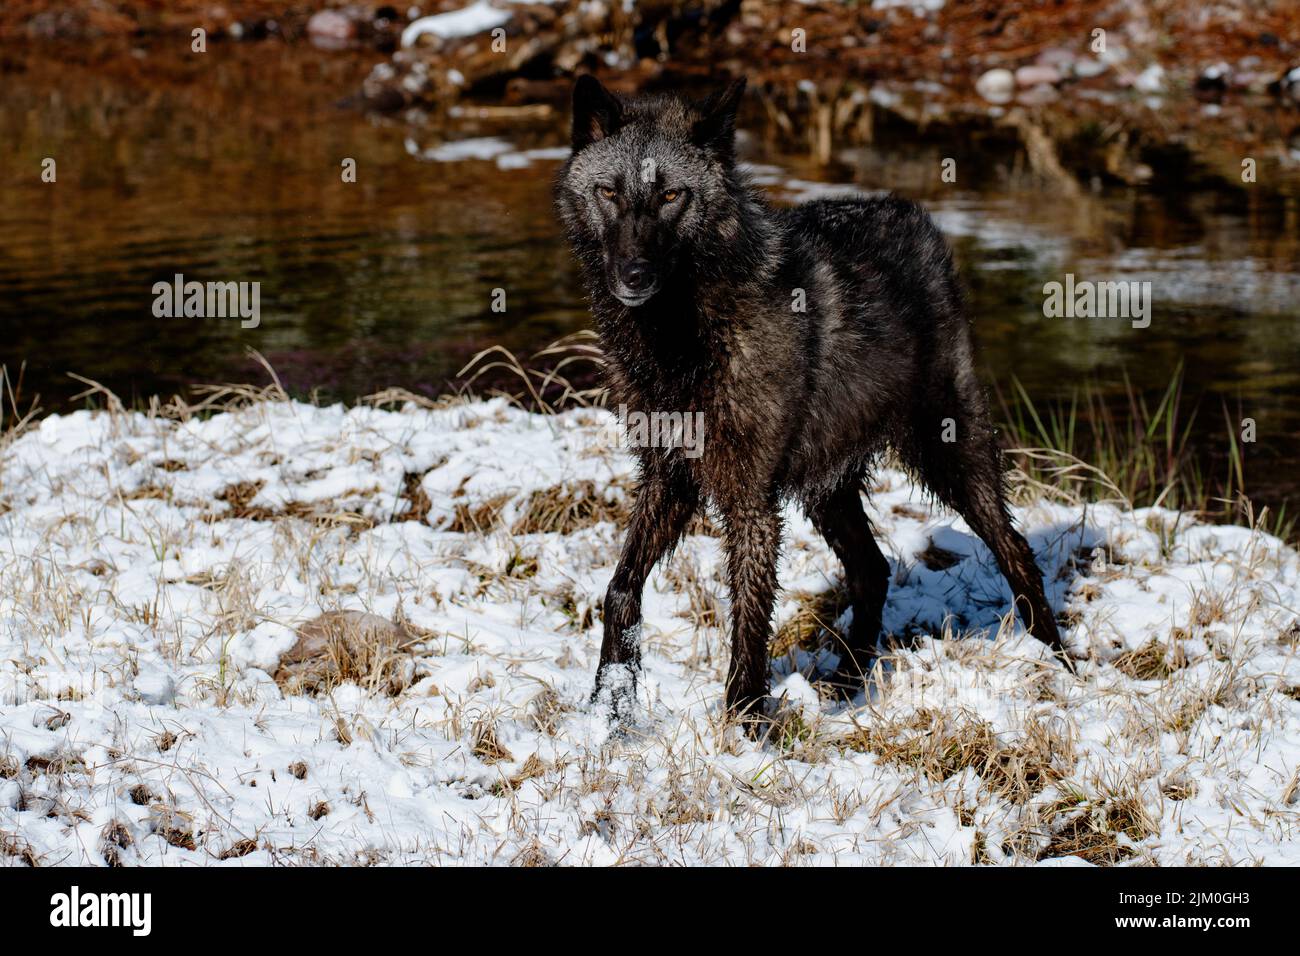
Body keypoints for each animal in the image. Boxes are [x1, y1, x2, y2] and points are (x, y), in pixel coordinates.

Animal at [551, 76, 1066, 717]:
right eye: (608, 192)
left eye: (671, 195)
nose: (634, 275)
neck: (682, 336)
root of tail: (913, 213)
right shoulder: (667, 476)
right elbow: (620, 589)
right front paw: (609, 704)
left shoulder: (751, 500)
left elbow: (748, 621)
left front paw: (744, 725)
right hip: (827, 488)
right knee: (873, 570)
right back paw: (849, 685)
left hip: (950, 457)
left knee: (1016, 551)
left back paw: (1060, 665)